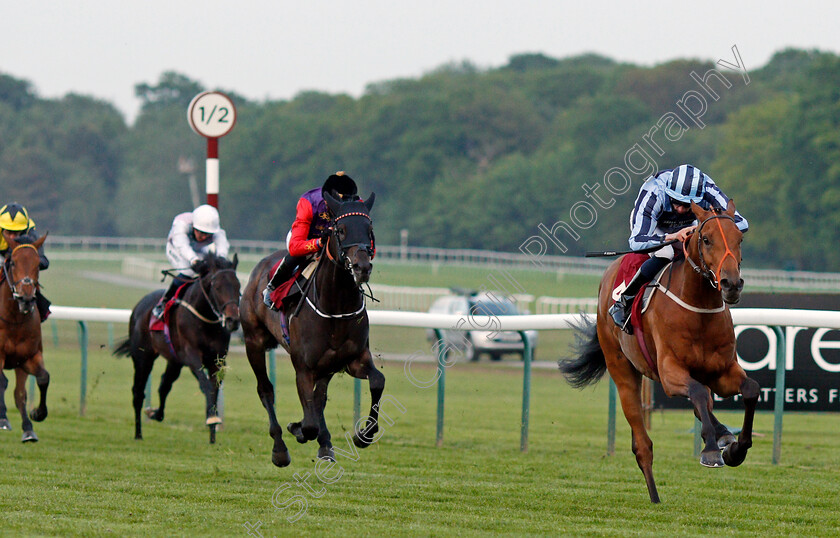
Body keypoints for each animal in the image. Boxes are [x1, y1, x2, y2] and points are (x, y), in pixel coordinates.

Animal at [111, 253, 240, 442]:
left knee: (164, 385)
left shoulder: (217, 360)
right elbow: (206, 386)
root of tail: (139, 307)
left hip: (174, 361)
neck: (205, 319)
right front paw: (211, 420)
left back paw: (154, 414)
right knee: (138, 392)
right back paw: (138, 433)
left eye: (238, 286)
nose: (233, 320)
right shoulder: (191, 356)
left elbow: (213, 389)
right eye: (216, 287)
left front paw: (212, 432)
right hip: (143, 357)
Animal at [241, 193, 386, 464]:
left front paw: (364, 435)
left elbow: (377, 381)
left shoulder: (352, 359)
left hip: (327, 365)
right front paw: (297, 429)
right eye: (340, 230)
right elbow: (308, 423)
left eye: (369, 229)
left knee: (319, 399)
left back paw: (325, 444)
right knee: (265, 389)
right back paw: (280, 449)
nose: (362, 267)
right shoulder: (304, 367)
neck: (336, 307)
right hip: (253, 341)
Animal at [560, 199, 756, 500]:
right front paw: (711, 451)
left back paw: (723, 433)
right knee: (643, 444)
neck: (697, 309)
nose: (731, 284)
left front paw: (736, 449)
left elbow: (749, 390)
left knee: (703, 402)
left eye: (739, 239)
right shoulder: (668, 371)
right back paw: (655, 496)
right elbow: (700, 394)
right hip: (622, 371)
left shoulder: (722, 371)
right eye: (707, 239)